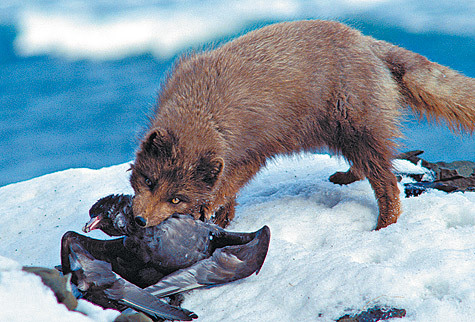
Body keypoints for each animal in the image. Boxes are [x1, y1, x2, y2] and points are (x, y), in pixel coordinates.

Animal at [129, 19, 475, 229]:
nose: (139, 221)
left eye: (176, 198)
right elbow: (227, 189)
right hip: (347, 134)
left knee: (388, 182)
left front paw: (212, 212)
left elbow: (227, 186)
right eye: (149, 181)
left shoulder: (254, 151)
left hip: (358, 127)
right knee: (368, 166)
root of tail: (368, 43)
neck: (205, 107)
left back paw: (384, 225)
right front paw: (223, 217)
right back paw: (344, 177)